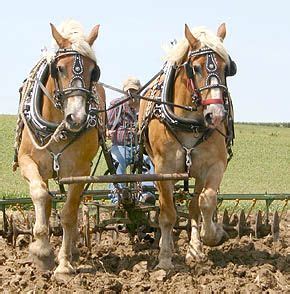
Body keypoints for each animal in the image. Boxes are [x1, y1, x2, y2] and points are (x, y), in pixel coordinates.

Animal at [16, 20, 104, 274]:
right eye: (60, 69)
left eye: (94, 71)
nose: (77, 117)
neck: (58, 126)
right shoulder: (27, 161)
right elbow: (40, 195)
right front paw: (41, 251)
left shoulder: (81, 171)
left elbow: (69, 213)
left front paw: (64, 264)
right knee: (44, 200)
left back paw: (73, 250)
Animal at [139, 24, 236, 270]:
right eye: (196, 68)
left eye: (227, 67)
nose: (216, 115)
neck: (190, 122)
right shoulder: (163, 170)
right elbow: (167, 214)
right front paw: (164, 258)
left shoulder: (214, 165)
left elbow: (204, 202)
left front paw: (210, 238)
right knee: (166, 206)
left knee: (194, 206)